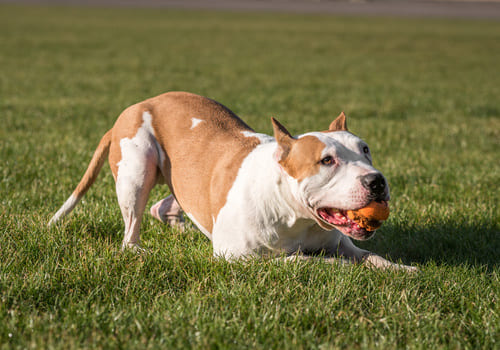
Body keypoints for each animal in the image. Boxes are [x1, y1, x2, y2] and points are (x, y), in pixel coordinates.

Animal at [50, 91, 416, 270]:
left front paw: (400, 270)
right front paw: (343, 269)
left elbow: (370, 256)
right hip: (137, 171)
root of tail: (139, 104)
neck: (294, 214)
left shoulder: (342, 243)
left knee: (168, 203)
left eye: (365, 150)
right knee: (131, 228)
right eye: (327, 160)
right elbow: (305, 261)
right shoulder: (237, 257)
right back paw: (139, 249)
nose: (376, 181)